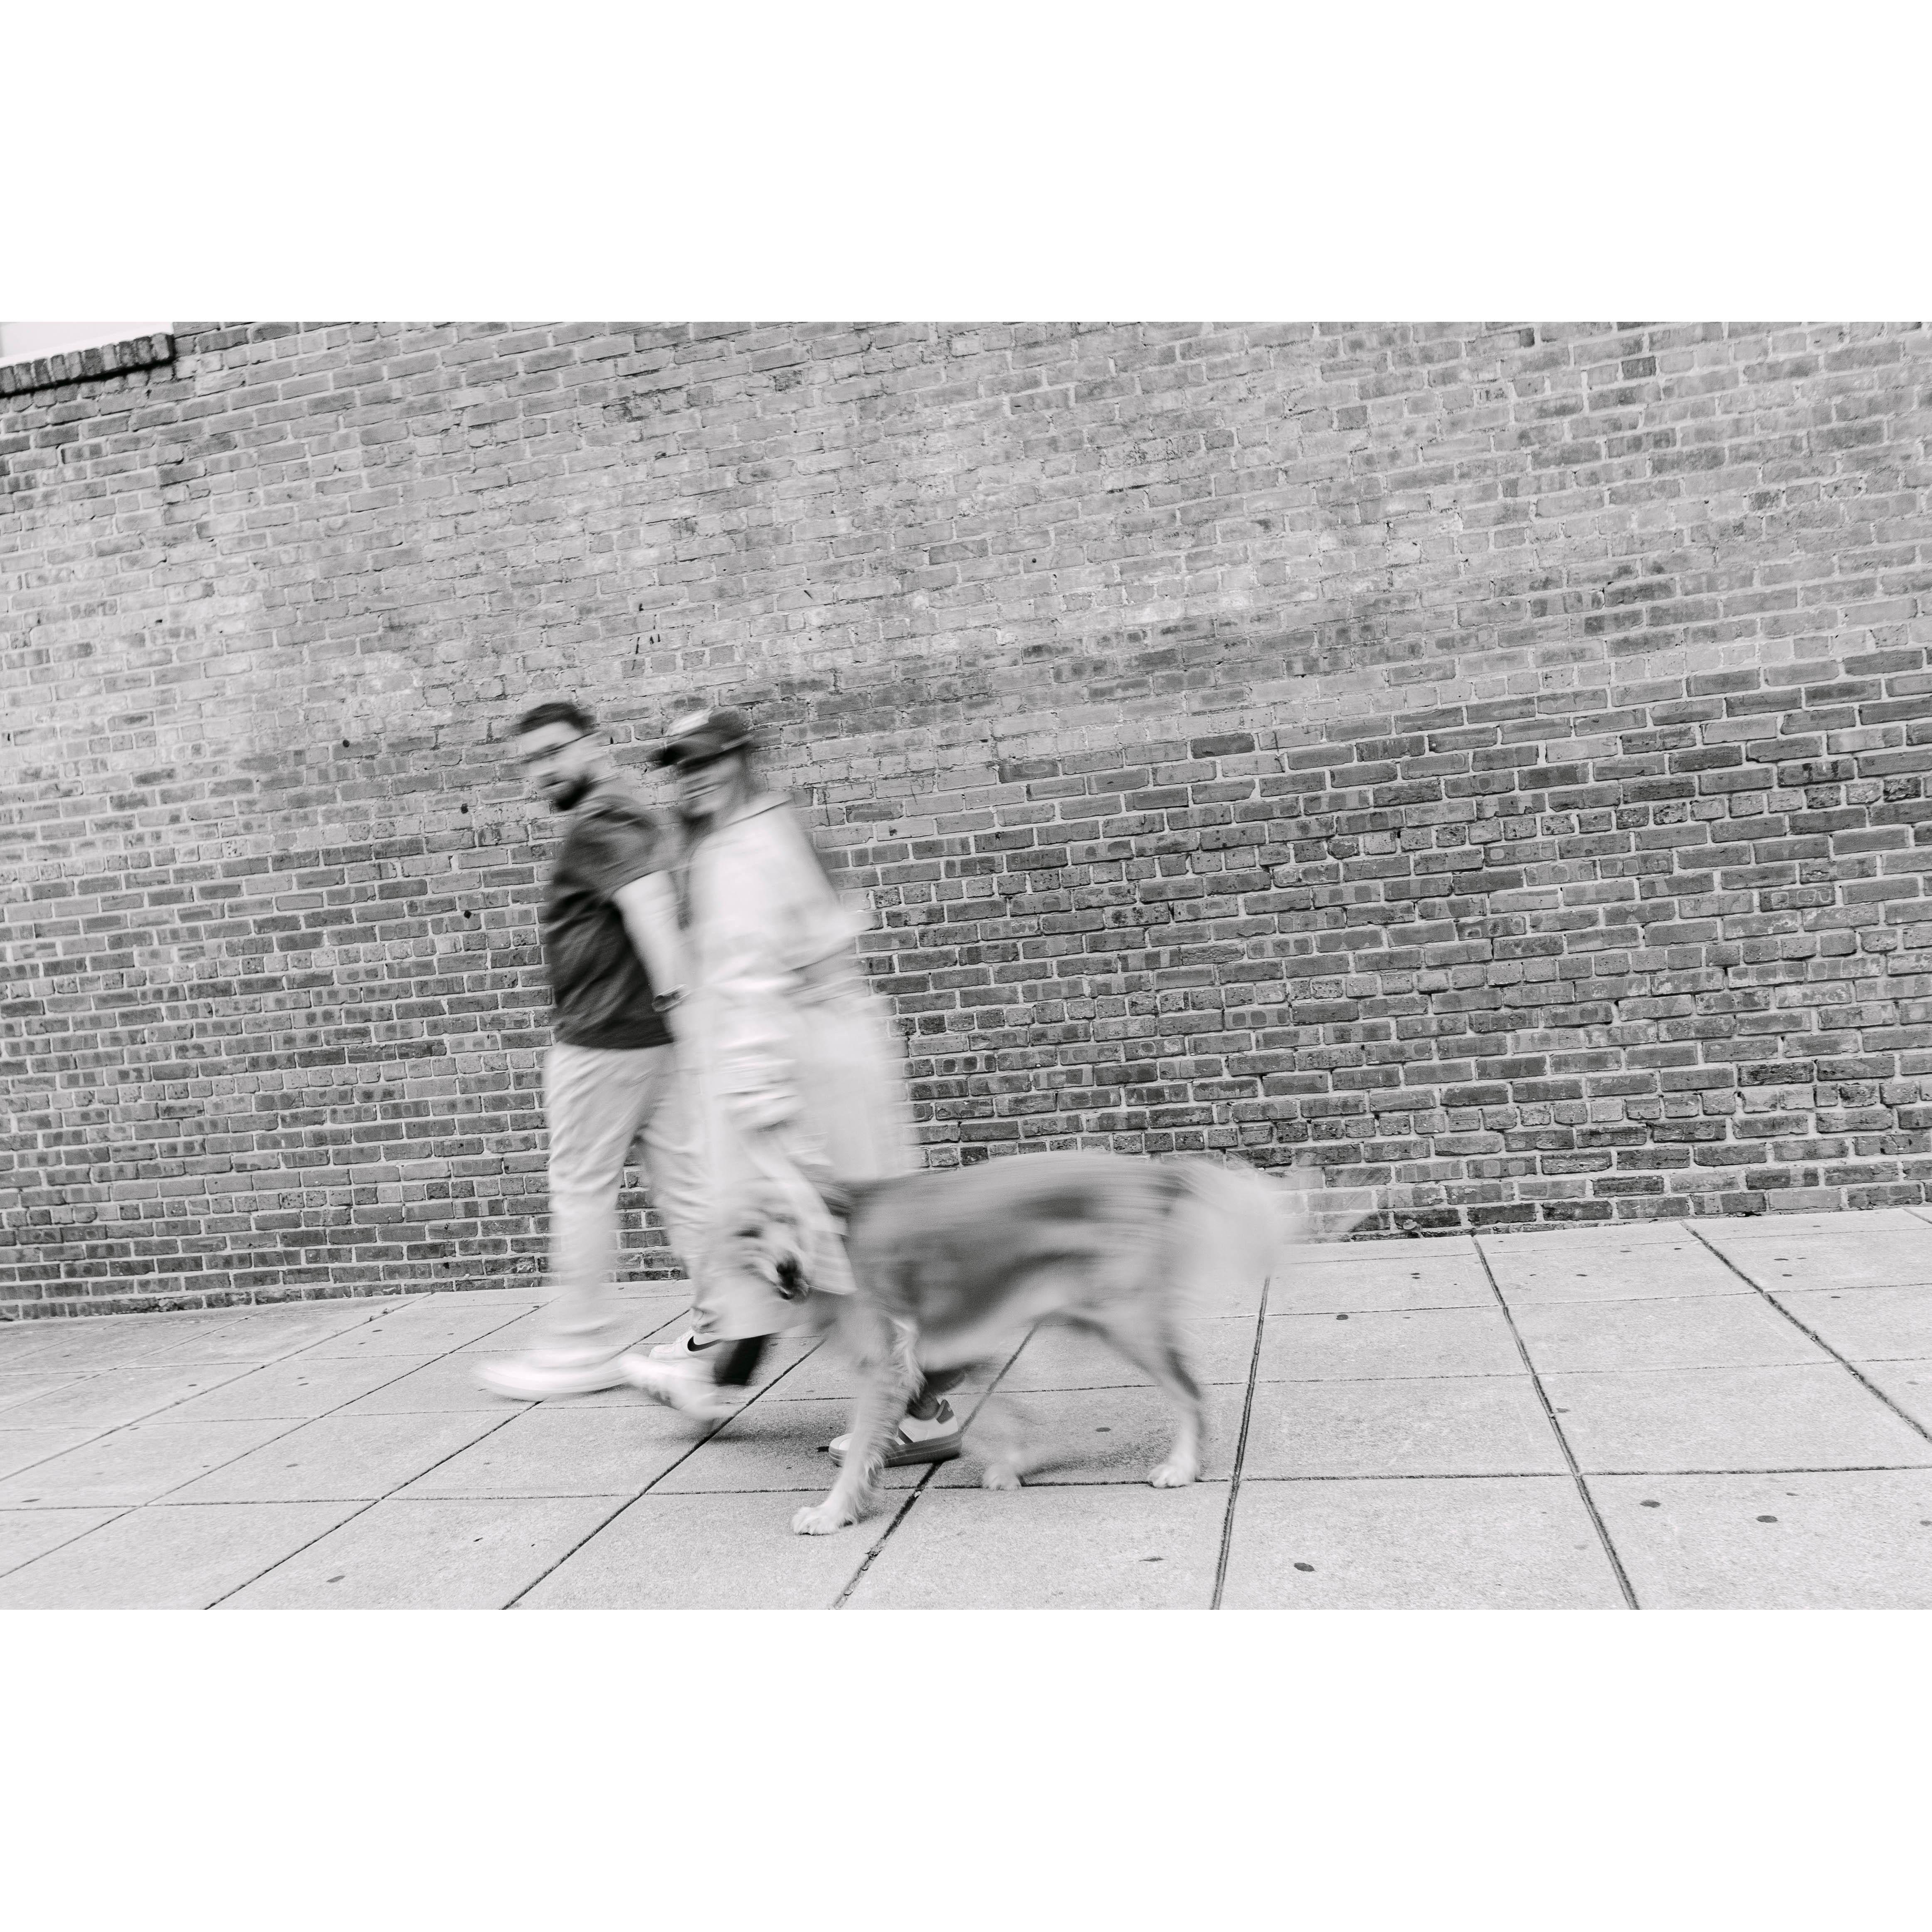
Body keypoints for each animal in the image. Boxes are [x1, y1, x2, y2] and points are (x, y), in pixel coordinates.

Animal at [703, 1149, 1324, 1536]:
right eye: (748, 1232)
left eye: (787, 1217)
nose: (787, 1267)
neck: (840, 1228)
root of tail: (1155, 1176)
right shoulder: (945, 1347)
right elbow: (1011, 1413)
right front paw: (1025, 1457)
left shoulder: (887, 1363)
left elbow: (858, 1456)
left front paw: (833, 1513)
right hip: (1087, 1315)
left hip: (1127, 1321)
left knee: (1190, 1393)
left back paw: (1182, 1465)